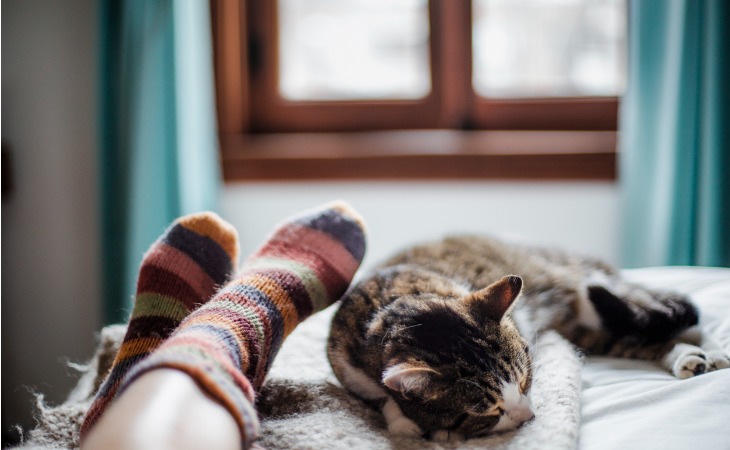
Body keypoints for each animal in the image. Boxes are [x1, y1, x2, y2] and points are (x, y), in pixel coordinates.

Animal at [326, 237, 728, 442]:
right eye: (489, 411)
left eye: (525, 381)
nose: (530, 416)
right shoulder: (346, 366)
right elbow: (381, 397)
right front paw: (403, 420)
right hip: (585, 327)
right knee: (633, 336)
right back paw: (688, 358)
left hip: (588, 287)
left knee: (668, 313)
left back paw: (709, 351)